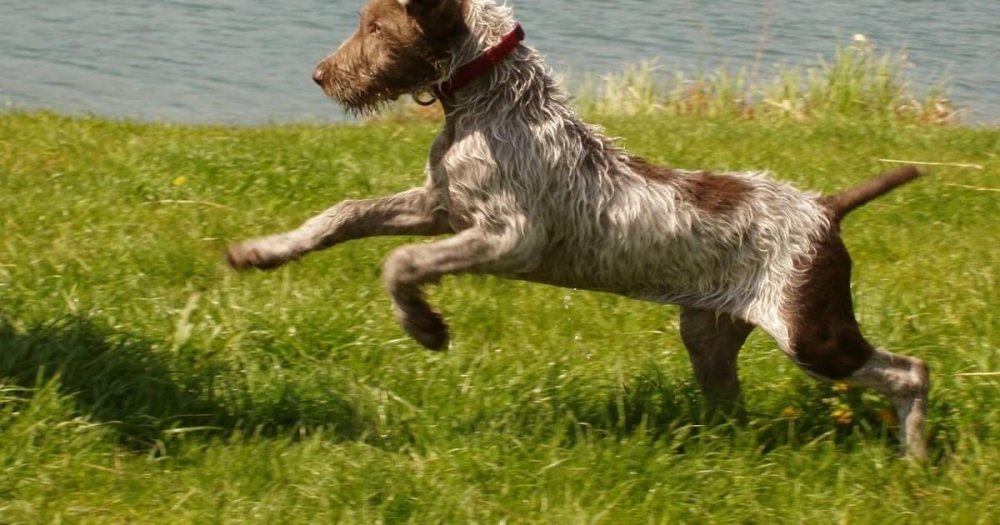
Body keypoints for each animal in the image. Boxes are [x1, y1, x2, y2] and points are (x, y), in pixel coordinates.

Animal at [227, 0, 928, 458]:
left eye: (374, 26)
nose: (320, 75)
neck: (490, 102)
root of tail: (826, 206)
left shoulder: (510, 237)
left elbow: (398, 263)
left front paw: (424, 327)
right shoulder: (441, 206)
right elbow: (343, 214)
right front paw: (264, 250)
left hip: (812, 332)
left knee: (910, 371)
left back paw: (915, 458)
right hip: (709, 333)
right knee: (733, 403)